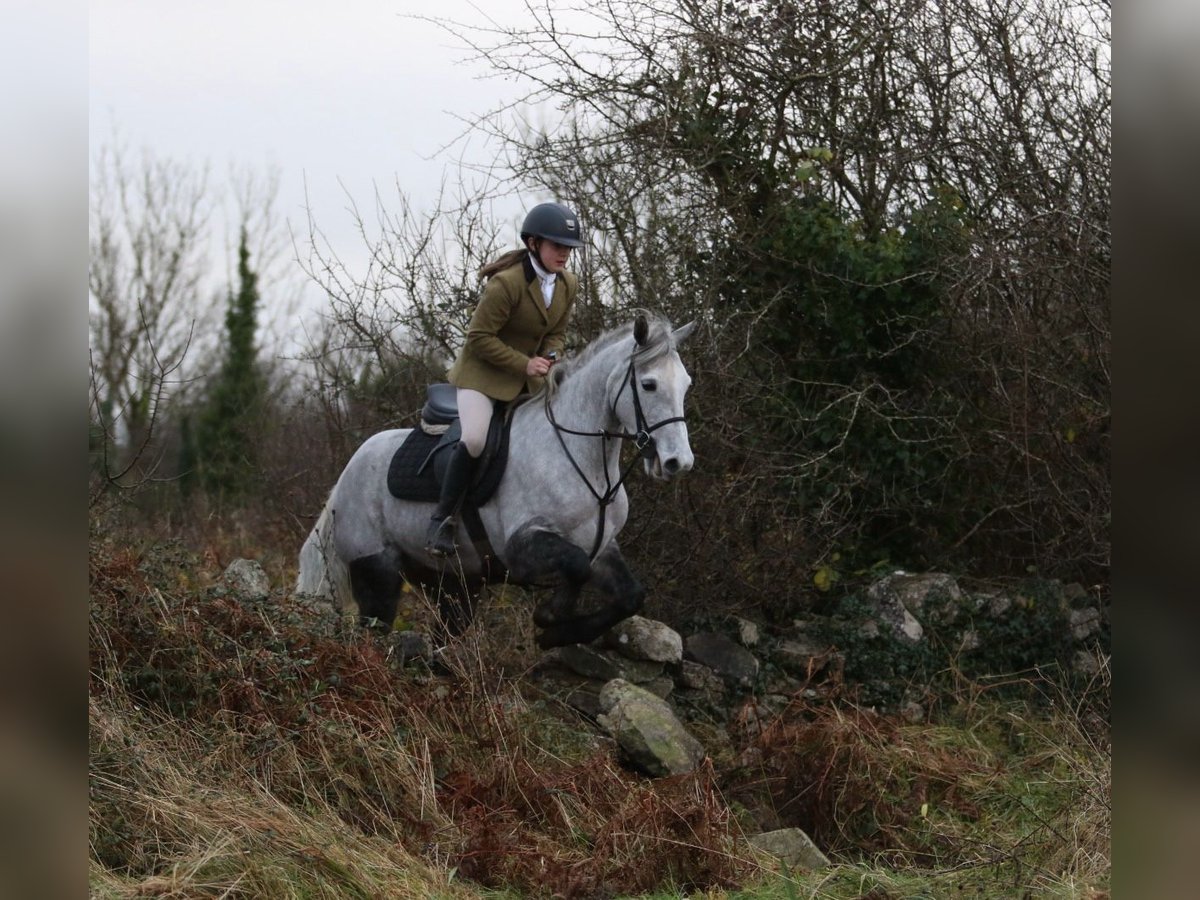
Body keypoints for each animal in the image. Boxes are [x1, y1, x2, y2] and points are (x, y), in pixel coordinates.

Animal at [294, 314, 700, 648]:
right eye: (648, 385)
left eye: (686, 385)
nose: (677, 462)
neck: (585, 462)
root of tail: (344, 478)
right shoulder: (522, 547)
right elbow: (575, 567)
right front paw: (549, 618)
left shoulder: (600, 547)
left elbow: (630, 595)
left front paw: (557, 634)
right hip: (377, 571)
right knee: (373, 630)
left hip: (452, 583)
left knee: (445, 631)